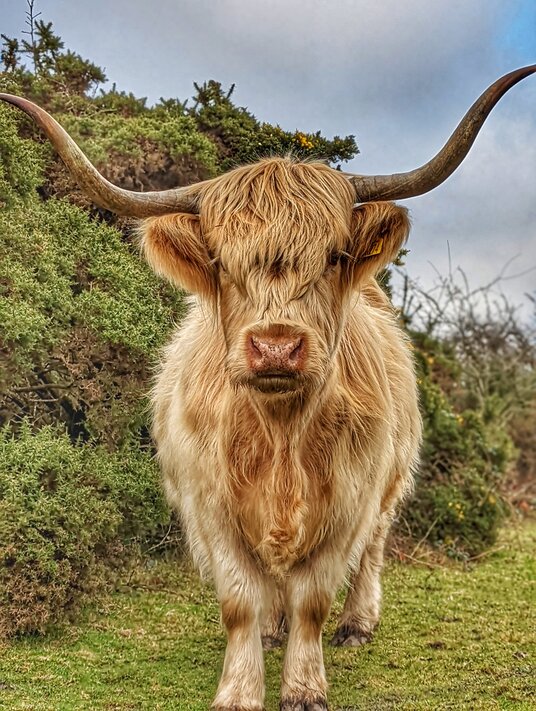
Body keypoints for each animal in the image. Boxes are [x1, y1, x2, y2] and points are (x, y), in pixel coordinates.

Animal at [1, 65, 533, 711]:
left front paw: (304, 686)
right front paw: (239, 688)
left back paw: (358, 624)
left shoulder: (347, 504)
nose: (276, 347)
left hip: (389, 484)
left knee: (373, 550)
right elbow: (240, 603)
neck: (280, 435)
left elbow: (314, 601)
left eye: (333, 256)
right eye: (222, 263)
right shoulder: (211, 507)